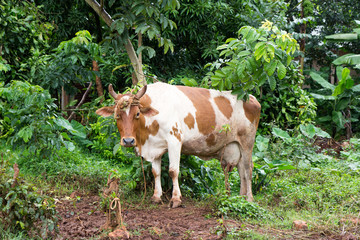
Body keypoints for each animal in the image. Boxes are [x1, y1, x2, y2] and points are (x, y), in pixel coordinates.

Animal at [95, 81, 262, 207]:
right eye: (117, 115)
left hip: (247, 142)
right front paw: (156, 196)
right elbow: (156, 172)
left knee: (248, 169)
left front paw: (176, 199)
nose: (128, 141)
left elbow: (173, 171)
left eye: (137, 114)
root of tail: (250, 97)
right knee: (241, 170)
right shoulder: (154, 147)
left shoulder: (174, 140)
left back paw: (249, 199)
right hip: (236, 145)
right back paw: (240, 198)